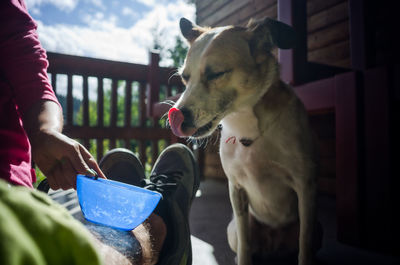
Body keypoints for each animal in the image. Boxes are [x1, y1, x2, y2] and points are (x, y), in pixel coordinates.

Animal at [167, 17, 320, 262]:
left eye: (216, 74)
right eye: (184, 77)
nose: (176, 117)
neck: (245, 125)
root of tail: (274, 246)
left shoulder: (306, 187)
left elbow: (304, 245)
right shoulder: (236, 190)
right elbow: (245, 244)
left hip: (317, 229)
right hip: (234, 230)